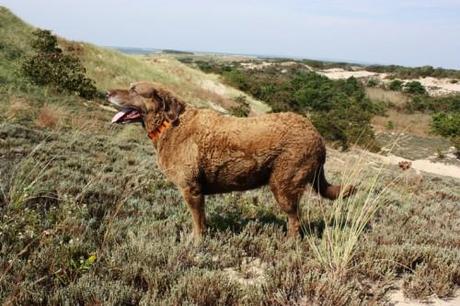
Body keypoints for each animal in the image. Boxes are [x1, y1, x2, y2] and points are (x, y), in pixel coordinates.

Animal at [108, 82, 356, 240]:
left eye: (134, 89)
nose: (107, 92)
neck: (168, 124)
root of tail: (317, 136)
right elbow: (202, 221)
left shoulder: (191, 190)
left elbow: (197, 224)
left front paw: (196, 244)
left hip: (284, 184)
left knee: (295, 221)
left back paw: (289, 245)